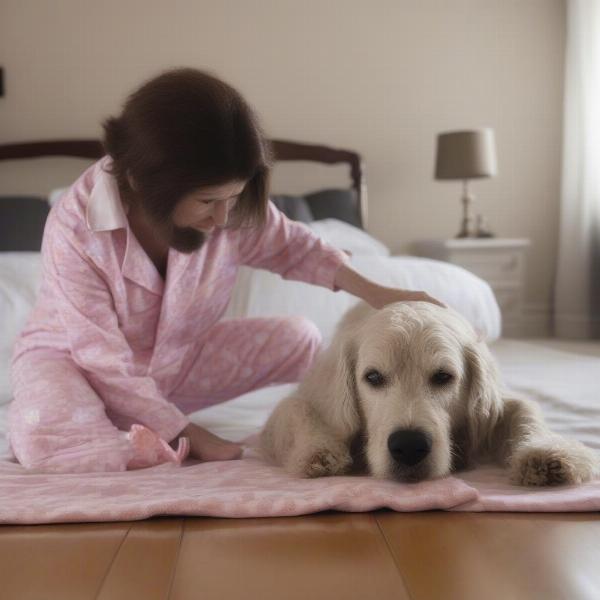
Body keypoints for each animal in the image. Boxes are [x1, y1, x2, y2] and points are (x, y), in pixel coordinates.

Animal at [260, 302, 596, 486]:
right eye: (373, 377)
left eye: (443, 376)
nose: (409, 446)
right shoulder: (315, 396)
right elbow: (295, 408)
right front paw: (319, 451)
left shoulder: (491, 406)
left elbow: (524, 409)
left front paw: (545, 453)